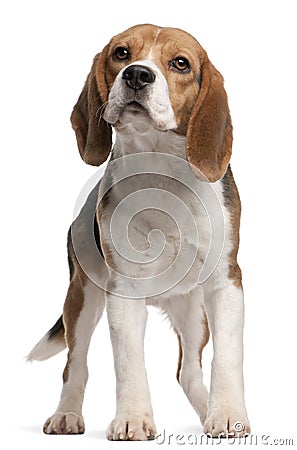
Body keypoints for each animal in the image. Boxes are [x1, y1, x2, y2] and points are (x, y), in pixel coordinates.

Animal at [28, 23, 250, 440]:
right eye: (121, 53)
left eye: (180, 63)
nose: (137, 75)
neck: (160, 165)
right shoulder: (124, 292)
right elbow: (129, 362)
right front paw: (132, 418)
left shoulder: (226, 283)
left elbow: (227, 357)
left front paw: (228, 414)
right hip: (81, 298)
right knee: (74, 364)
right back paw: (66, 414)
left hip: (194, 313)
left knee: (188, 371)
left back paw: (205, 410)